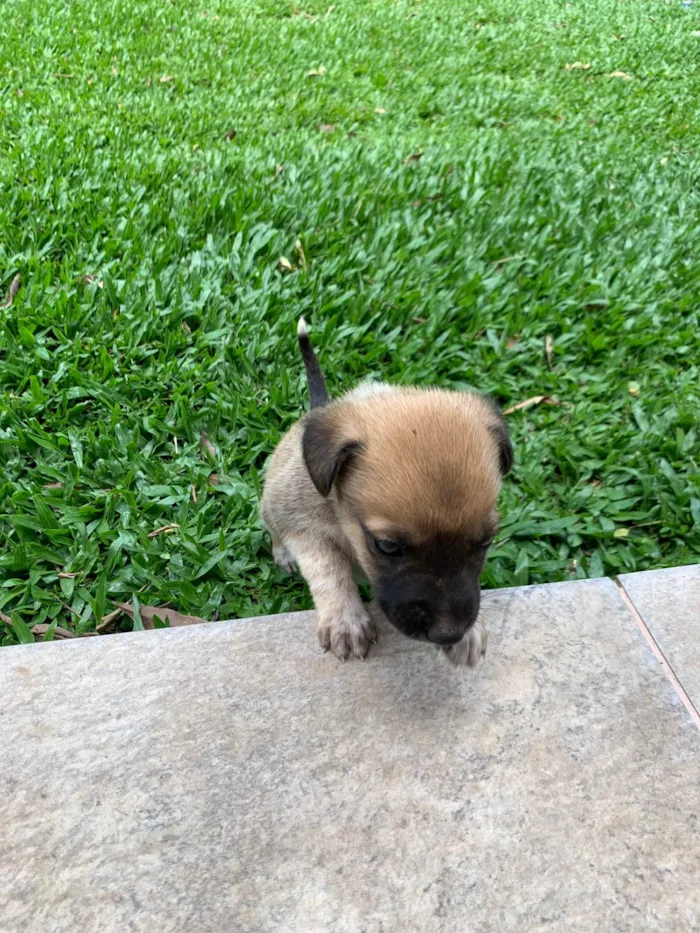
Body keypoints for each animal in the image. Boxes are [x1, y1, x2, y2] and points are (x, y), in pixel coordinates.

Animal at [260, 320, 512, 664]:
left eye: (486, 540)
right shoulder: (303, 527)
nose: (449, 634)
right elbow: (329, 569)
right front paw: (345, 620)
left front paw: (471, 633)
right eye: (388, 547)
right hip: (270, 505)